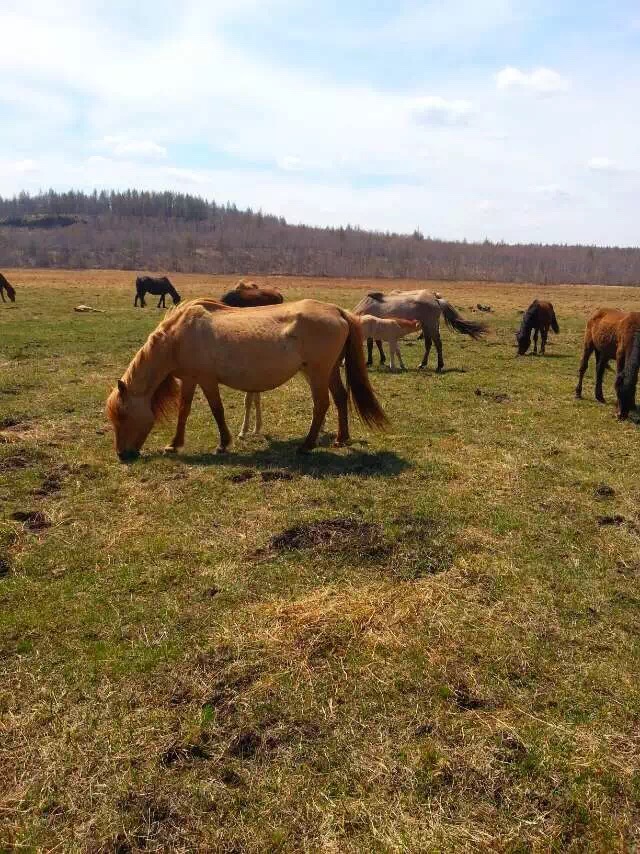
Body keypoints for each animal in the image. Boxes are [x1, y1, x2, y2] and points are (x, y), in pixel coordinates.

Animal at [105, 300, 388, 462]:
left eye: (123, 415)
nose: (122, 455)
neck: (178, 337)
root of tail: (337, 311)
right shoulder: (190, 379)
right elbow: (184, 411)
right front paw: (174, 444)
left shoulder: (206, 379)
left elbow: (217, 410)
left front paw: (223, 444)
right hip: (328, 371)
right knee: (340, 399)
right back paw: (341, 439)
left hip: (317, 373)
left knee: (321, 405)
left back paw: (307, 446)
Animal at [356, 290, 484, 372]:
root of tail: (435, 299)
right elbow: (377, 343)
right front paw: (381, 360)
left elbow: (371, 345)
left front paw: (370, 361)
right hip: (428, 328)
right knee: (429, 344)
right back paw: (424, 364)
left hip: (430, 326)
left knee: (437, 344)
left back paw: (438, 366)